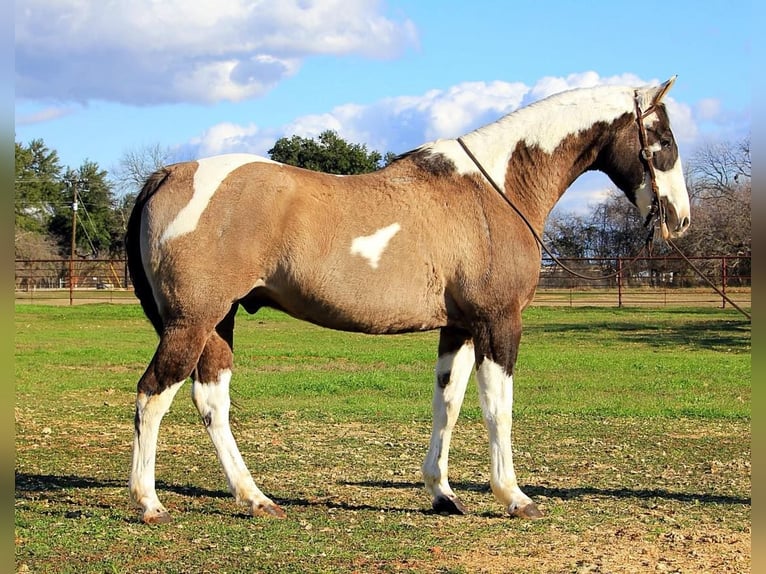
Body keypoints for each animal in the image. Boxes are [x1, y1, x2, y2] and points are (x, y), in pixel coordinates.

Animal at [124, 76, 688, 528]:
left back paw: (255, 498)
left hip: (219, 321)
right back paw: (150, 503)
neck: (495, 190)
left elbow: (449, 402)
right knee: (153, 394)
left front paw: (442, 493)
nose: (679, 219)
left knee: (210, 401)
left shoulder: (459, 328)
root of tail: (169, 173)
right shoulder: (498, 323)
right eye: (661, 141)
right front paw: (514, 495)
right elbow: (497, 408)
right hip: (192, 321)